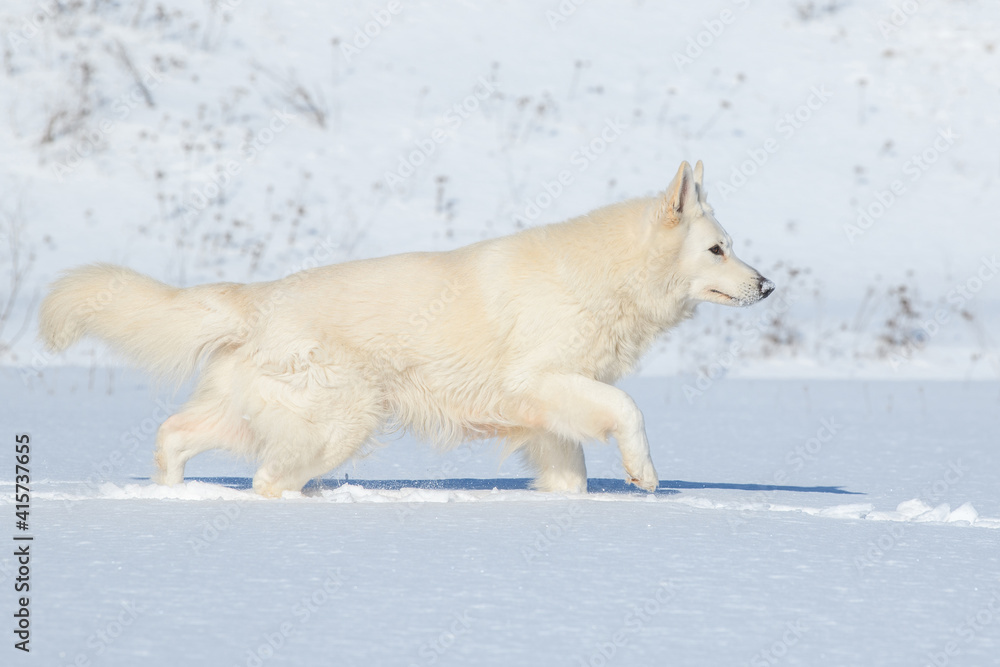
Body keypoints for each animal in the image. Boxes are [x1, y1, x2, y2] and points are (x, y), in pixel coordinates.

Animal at [39, 162, 772, 496]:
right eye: (717, 250)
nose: (767, 285)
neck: (606, 275)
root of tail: (259, 298)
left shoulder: (550, 412)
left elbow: (570, 475)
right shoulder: (544, 380)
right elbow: (628, 409)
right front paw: (645, 474)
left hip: (256, 414)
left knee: (176, 435)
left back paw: (169, 491)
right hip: (340, 420)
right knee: (270, 481)